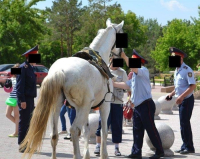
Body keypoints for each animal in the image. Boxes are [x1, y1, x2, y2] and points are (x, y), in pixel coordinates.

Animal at [19, 18, 123, 158]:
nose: (121, 54)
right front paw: (102, 154)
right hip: (83, 107)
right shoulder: (104, 106)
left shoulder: (84, 109)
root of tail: (60, 71)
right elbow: (103, 132)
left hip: (57, 105)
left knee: (54, 135)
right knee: (73, 130)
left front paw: (86, 155)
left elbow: (86, 131)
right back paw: (76, 155)